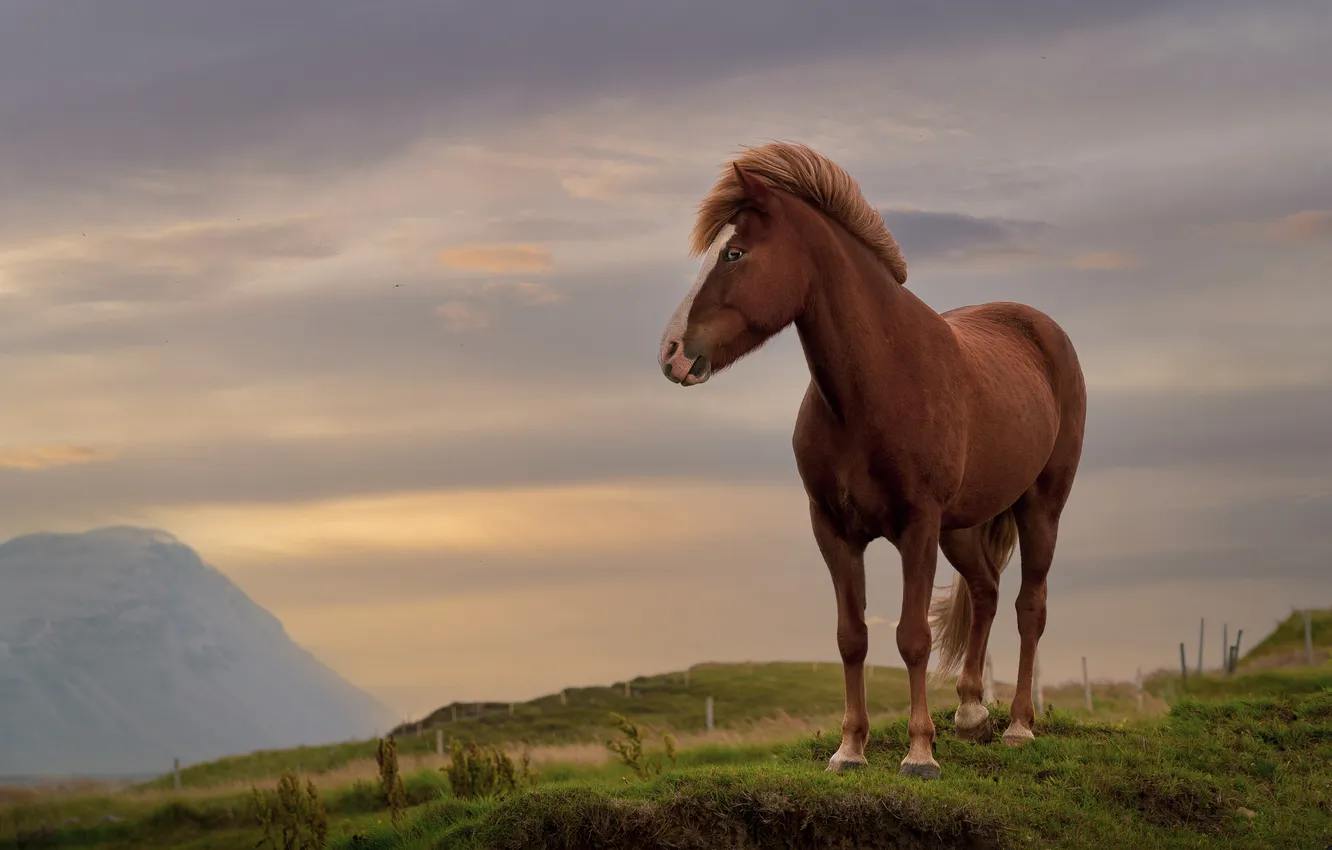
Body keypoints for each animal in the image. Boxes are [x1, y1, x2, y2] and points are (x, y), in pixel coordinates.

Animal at [657, 142, 1086, 779]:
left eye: (735, 252)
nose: (671, 354)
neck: (878, 383)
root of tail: (1039, 328)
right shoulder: (834, 530)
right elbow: (851, 636)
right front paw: (850, 749)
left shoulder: (917, 526)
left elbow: (911, 637)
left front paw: (919, 754)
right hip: (961, 528)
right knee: (985, 593)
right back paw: (971, 714)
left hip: (1040, 510)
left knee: (1028, 606)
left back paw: (1017, 726)